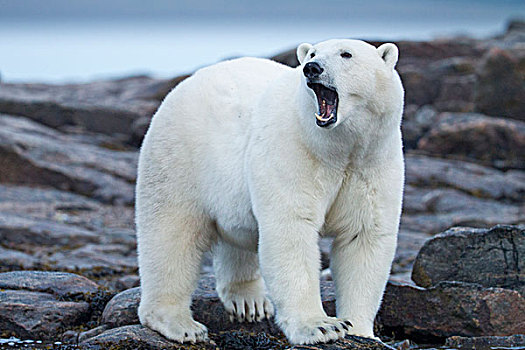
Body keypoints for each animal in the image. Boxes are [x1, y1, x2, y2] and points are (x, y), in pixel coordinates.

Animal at [134, 39, 402, 344]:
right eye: (312, 54)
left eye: (347, 54)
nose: (312, 68)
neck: (338, 149)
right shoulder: (294, 150)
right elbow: (290, 231)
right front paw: (321, 327)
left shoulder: (372, 163)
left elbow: (363, 237)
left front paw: (360, 331)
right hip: (179, 157)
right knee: (171, 235)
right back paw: (180, 324)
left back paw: (248, 301)